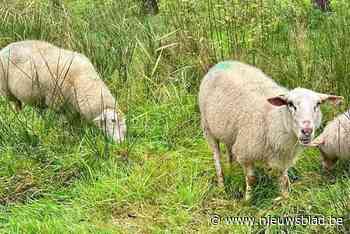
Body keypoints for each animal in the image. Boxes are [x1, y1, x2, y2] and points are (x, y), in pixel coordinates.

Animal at [198, 59, 344, 199]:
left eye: (317, 104)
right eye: (290, 104)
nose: (307, 130)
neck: (274, 118)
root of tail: (221, 63)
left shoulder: (283, 156)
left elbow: (284, 179)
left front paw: (285, 198)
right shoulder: (245, 152)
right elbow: (251, 179)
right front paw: (247, 200)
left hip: (230, 132)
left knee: (229, 151)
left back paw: (231, 169)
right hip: (207, 128)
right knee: (217, 157)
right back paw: (221, 185)